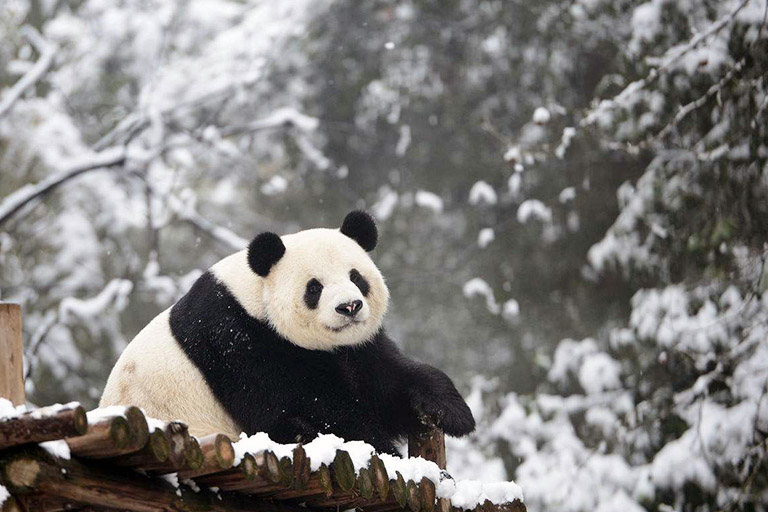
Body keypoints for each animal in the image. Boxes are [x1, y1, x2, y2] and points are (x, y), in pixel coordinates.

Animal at [100, 210, 475, 454]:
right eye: (315, 288)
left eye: (356, 277)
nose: (350, 307)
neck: (255, 296)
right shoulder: (240, 340)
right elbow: (317, 405)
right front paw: (382, 451)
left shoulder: (355, 348)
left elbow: (387, 380)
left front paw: (452, 412)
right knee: (285, 427)